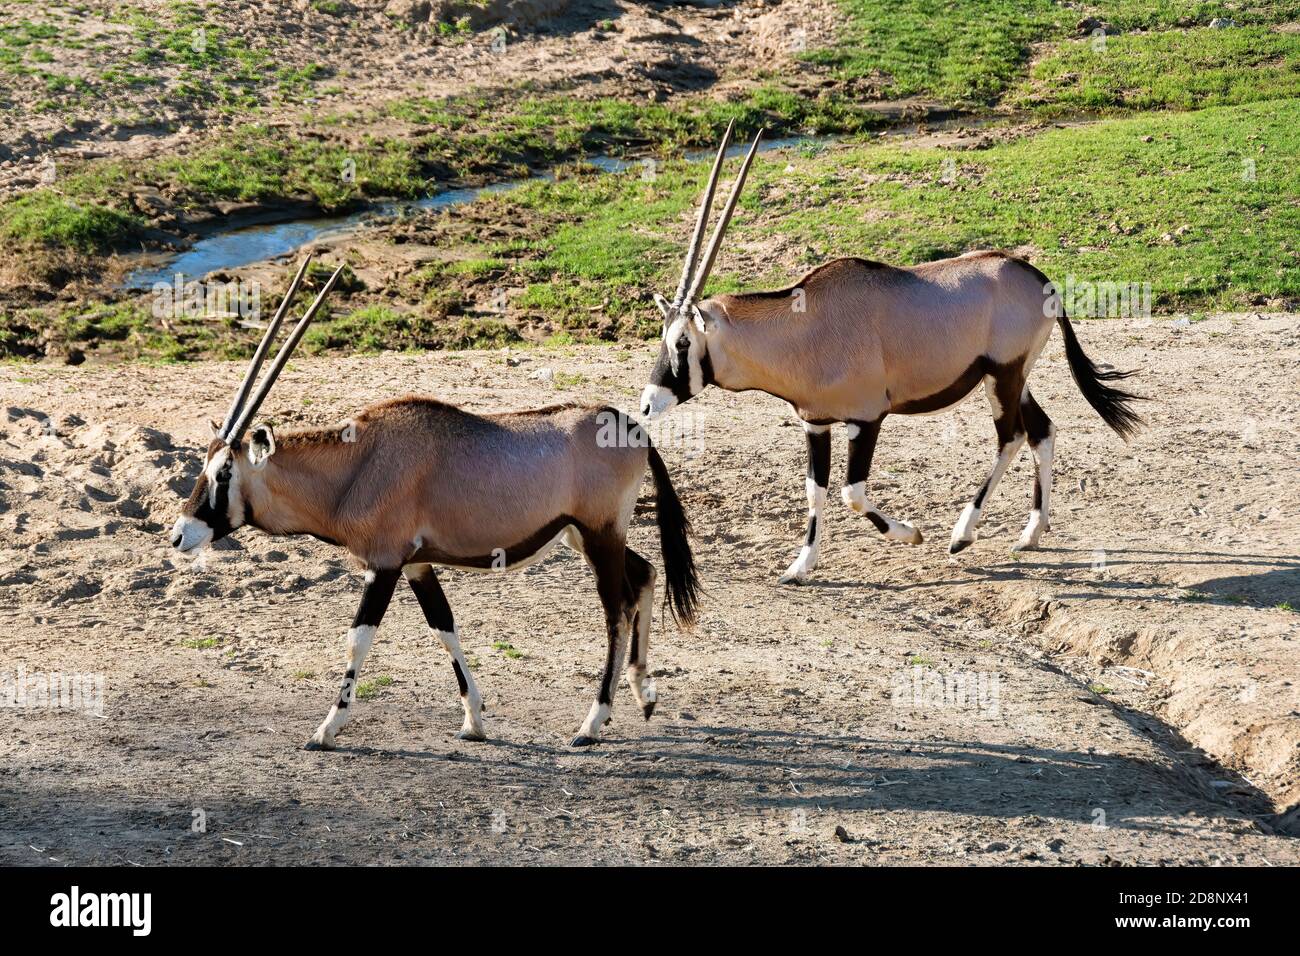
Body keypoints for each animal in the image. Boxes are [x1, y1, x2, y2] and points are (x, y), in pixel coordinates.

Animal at [175, 257, 702, 749]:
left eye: (224, 472)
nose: (180, 535)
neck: (357, 465)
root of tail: (632, 427)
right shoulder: (416, 565)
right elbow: (443, 626)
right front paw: (473, 721)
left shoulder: (384, 564)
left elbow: (358, 639)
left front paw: (326, 729)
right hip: (586, 536)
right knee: (644, 574)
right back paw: (643, 695)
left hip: (598, 536)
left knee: (617, 609)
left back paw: (592, 723)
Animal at [639, 119, 1138, 582]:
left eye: (683, 341)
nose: (647, 404)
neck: (802, 327)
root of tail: (1036, 276)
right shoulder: (815, 423)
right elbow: (815, 490)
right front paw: (800, 567)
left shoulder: (866, 418)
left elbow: (851, 492)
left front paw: (911, 534)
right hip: (1014, 377)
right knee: (1042, 431)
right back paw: (1031, 532)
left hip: (1002, 375)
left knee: (1011, 437)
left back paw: (962, 534)